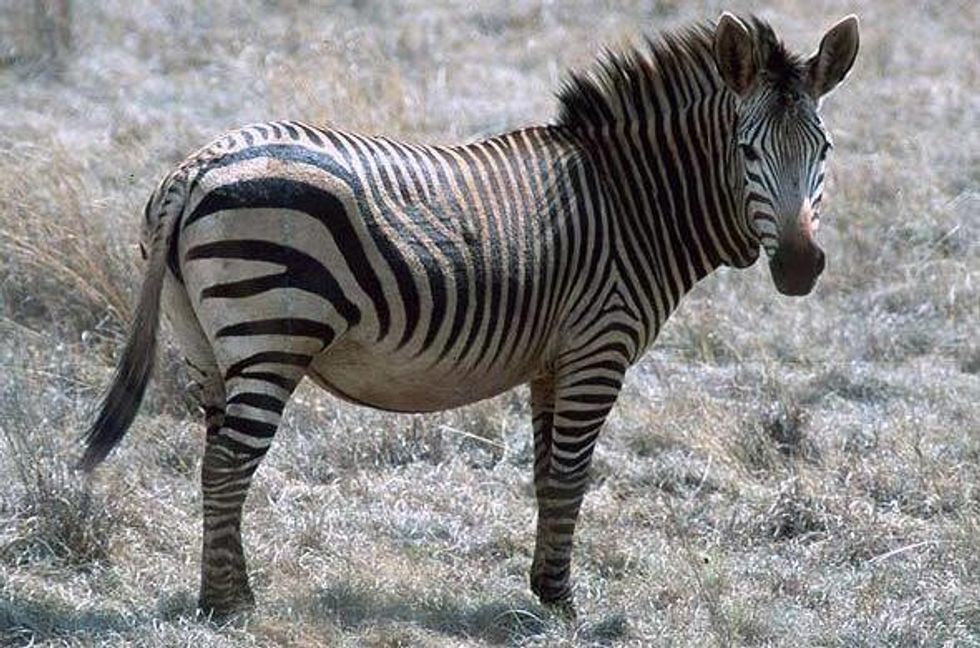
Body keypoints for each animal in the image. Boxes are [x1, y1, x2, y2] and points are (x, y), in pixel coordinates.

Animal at [79, 13, 859, 618]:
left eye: (825, 150)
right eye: (748, 150)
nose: (799, 268)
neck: (632, 202)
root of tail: (197, 169)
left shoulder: (553, 360)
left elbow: (546, 475)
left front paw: (543, 589)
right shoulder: (598, 347)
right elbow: (572, 475)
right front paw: (563, 604)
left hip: (204, 345)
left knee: (213, 460)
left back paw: (225, 591)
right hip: (270, 331)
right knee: (229, 463)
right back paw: (229, 606)